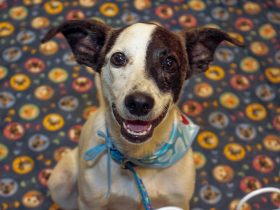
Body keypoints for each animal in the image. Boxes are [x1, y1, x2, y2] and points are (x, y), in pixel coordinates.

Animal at [42, 18, 243, 209]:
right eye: (118, 58)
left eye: (169, 62)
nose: (139, 103)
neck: (138, 159)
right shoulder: (90, 203)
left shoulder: (177, 201)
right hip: (61, 182)